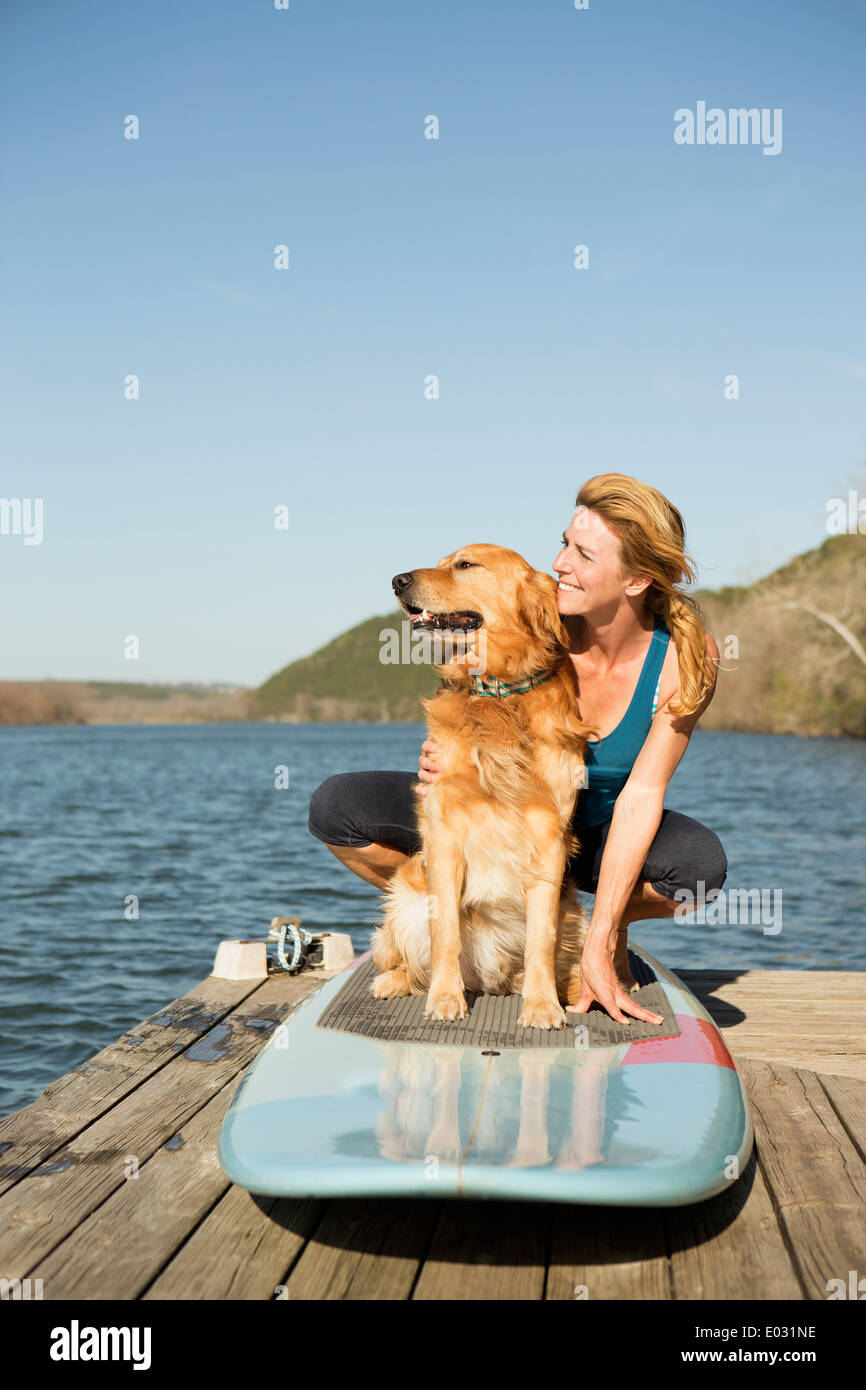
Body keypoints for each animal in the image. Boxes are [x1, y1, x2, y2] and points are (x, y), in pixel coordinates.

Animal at [369, 544, 600, 1034]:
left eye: (466, 565)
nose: (397, 581)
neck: (498, 693)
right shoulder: (444, 831)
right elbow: (446, 934)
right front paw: (445, 998)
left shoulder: (548, 837)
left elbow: (541, 938)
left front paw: (542, 1005)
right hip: (404, 896)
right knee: (409, 962)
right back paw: (396, 982)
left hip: (576, 913)